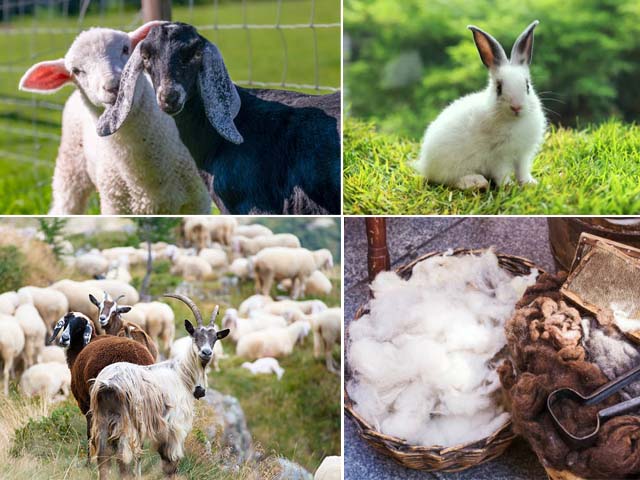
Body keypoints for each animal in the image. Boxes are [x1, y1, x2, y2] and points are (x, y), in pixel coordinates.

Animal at [20, 22, 211, 215]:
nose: (115, 85)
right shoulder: (115, 205)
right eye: (76, 71)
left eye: (125, 49)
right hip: (70, 165)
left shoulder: (199, 200)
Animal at [48, 312, 155, 462]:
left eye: (79, 326)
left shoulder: (86, 403)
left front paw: (89, 460)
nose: (64, 338)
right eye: (66, 322)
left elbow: (90, 432)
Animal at [90, 293, 229, 479]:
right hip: (126, 423)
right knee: (123, 458)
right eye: (195, 336)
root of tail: (108, 384)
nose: (206, 353)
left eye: (214, 339)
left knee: (103, 458)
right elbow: (170, 464)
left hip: (102, 421)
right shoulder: (175, 427)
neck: (182, 374)